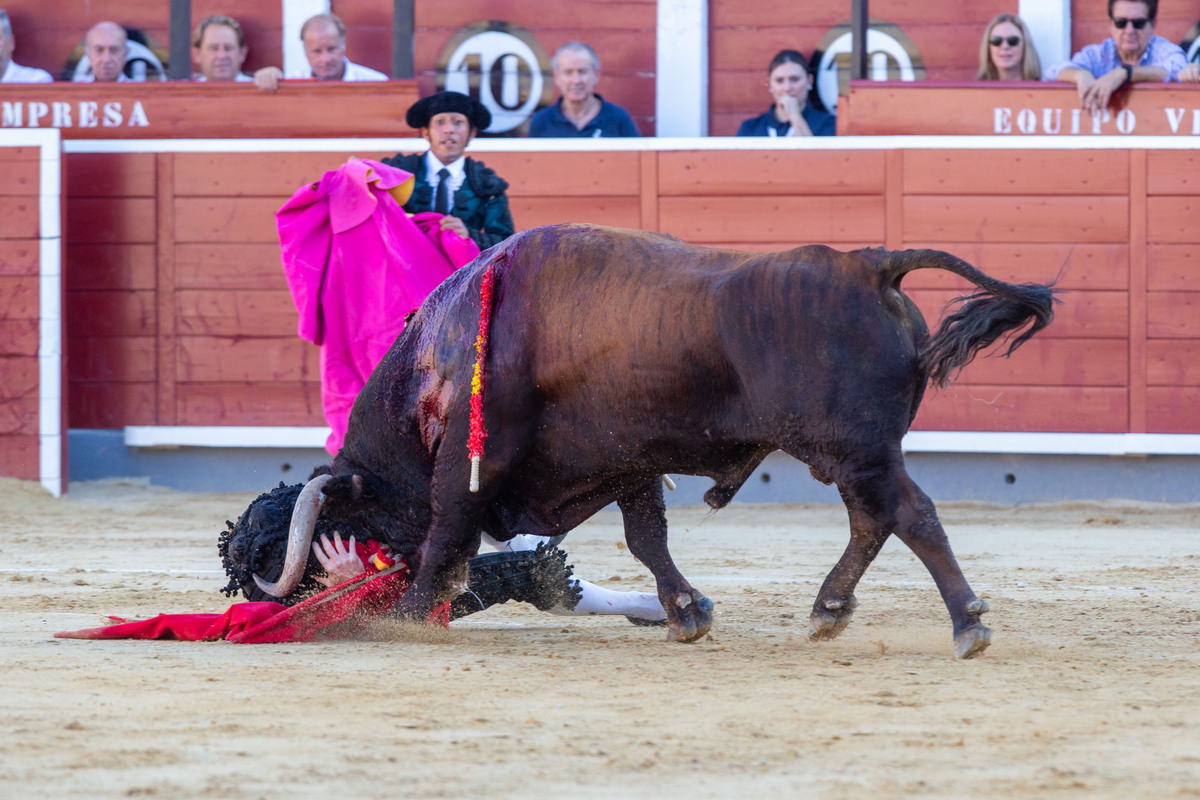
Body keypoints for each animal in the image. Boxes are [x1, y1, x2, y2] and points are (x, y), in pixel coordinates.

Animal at [238, 224, 1056, 657]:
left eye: (353, 524)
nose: (376, 594)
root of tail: (869, 264)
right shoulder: (625, 462)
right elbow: (647, 539)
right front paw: (688, 613)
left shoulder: (475, 465)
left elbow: (447, 534)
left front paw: (407, 618)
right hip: (853, 456)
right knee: (875, 519)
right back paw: (829, 610)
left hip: (855, 450)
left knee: (906, 514)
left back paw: (966, 624)